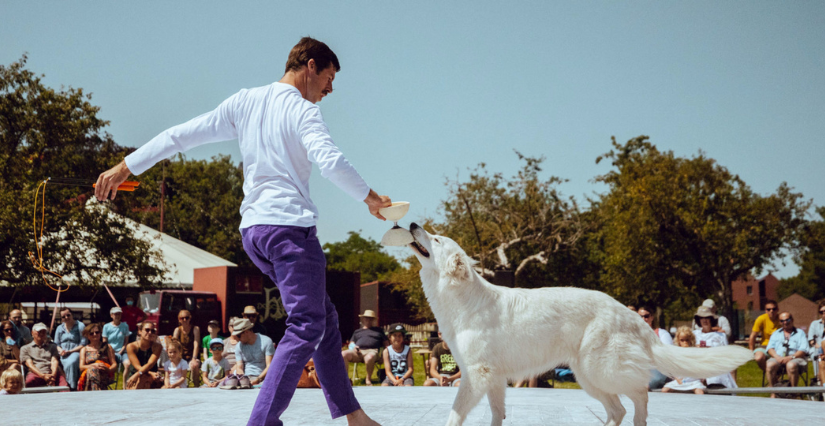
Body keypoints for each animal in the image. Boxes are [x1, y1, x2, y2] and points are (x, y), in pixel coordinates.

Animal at [408, 223, 752, 426]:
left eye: (435, 238)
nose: (412, 224)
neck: (463, 297)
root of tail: (630, 315)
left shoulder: (476, 375)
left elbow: (454, 414)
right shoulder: (493, 378)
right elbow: (496, 414)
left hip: (601, 370)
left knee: (640, 396)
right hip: (588, 376)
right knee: (618, 410)